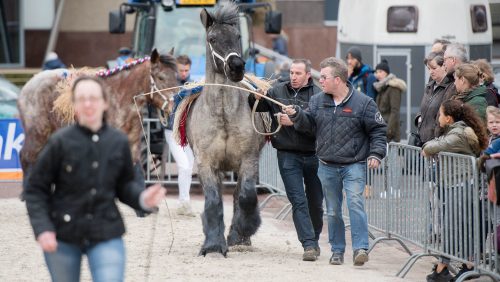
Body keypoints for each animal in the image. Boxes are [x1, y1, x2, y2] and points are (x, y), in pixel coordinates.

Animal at [17, 49, 178, 184]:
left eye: (176, 78)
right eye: (161, 78)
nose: (175, 105)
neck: (119, 97)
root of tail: (27, 86)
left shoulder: (133, 144)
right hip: (37, 134)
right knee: (26, 158)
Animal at [186, 2, 266, 258]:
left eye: (238, 36)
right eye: (212, 39)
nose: (236, 66)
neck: (223, 115)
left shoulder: (248, 160)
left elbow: (246, 196)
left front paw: (241, 232)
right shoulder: (206, 163)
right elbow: (213, 201)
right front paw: (212, 245)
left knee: (240, 194)